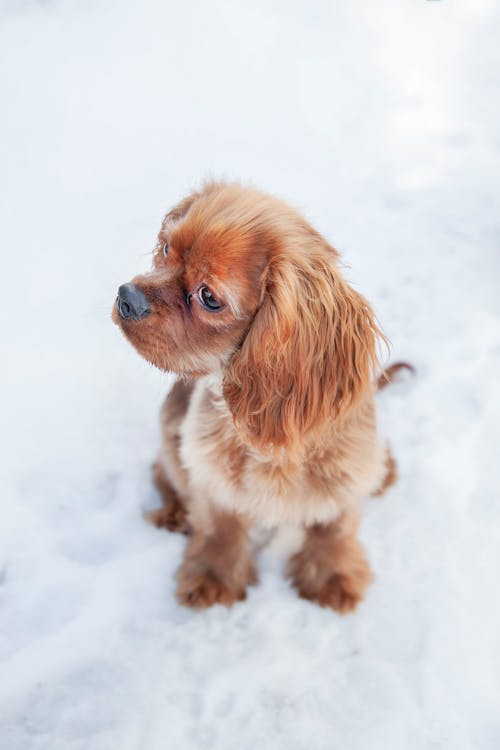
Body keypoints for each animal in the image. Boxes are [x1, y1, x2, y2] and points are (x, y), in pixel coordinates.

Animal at [113, 182, 410, 612]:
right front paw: (214, 577)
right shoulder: (209, 470)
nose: (126, 296)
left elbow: (334, 527)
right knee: (164, 472)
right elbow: (219, 526)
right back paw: (174, 513)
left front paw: (332, 576)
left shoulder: (345, 472)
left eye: (209, 296)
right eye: (166, 248)